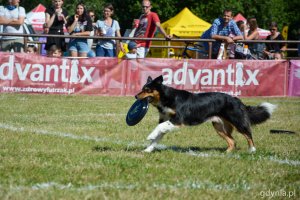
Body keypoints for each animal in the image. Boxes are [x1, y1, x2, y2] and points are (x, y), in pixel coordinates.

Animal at [136, 76, 276, 152]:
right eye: (142, 89)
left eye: (147, 90)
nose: (136, 96)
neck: (166, 98)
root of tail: (237, 99)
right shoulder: (166, 120)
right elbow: (158, 136)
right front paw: (148, 149)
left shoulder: (178, 120)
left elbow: (159, 128)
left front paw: (150, 136)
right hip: (219, 127)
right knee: (232, 141)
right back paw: (226, 153)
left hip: (237, 121)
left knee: (248, 134)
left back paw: (252, 150)